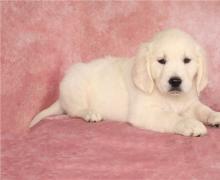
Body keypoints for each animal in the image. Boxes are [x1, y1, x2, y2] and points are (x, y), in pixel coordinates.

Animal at [30, 28, 219, 136]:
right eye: (161, 61)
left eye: (187, 60)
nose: (175, 81)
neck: (171, 98)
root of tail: (61, 98)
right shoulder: (144, 112)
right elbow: (171, 117)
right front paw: (190, 124)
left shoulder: (190, 103)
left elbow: (203, 109)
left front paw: (214, 116)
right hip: (75, 84)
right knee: (73, 111)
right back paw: (90, 113)